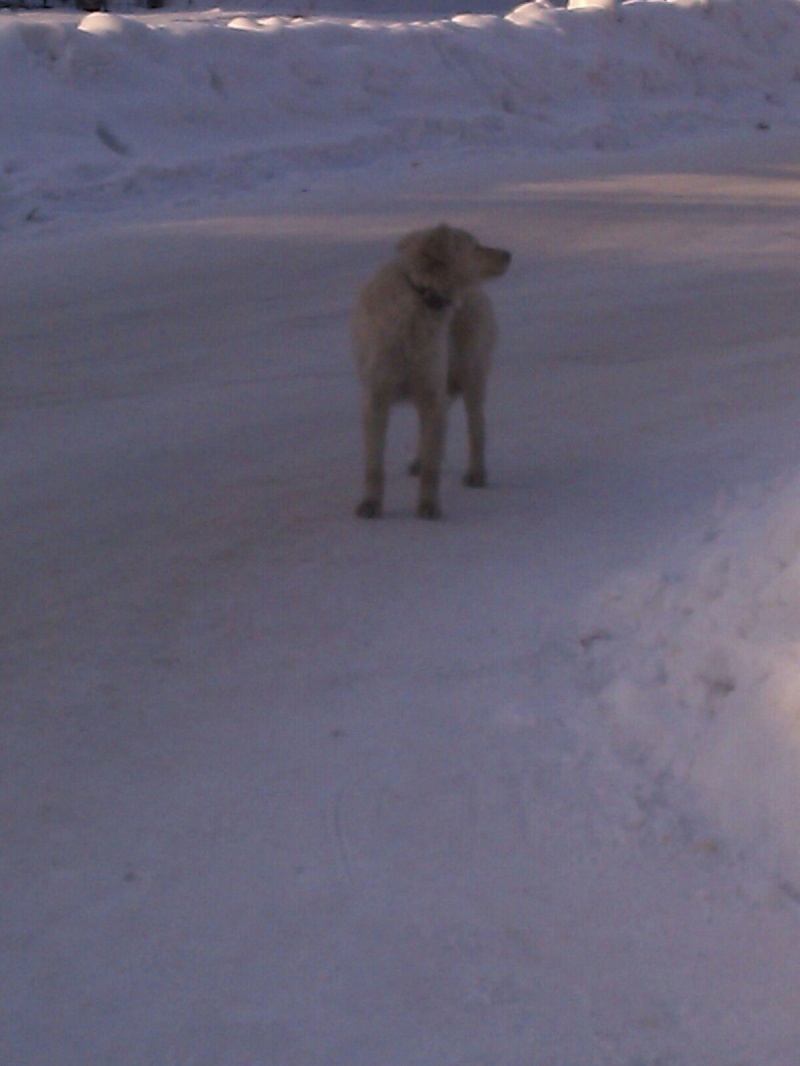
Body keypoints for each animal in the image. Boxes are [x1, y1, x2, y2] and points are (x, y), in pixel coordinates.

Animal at [352, 223, 511, 519]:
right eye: (475, 247)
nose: (509, 254)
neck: (421, 296)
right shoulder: (377, 397)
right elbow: (374, 463)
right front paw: (371, 503)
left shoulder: (431, 393)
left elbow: (433, 464)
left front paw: (428, 505)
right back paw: (417, 460)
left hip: (470, 376)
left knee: (476, 427)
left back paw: (476, 473)